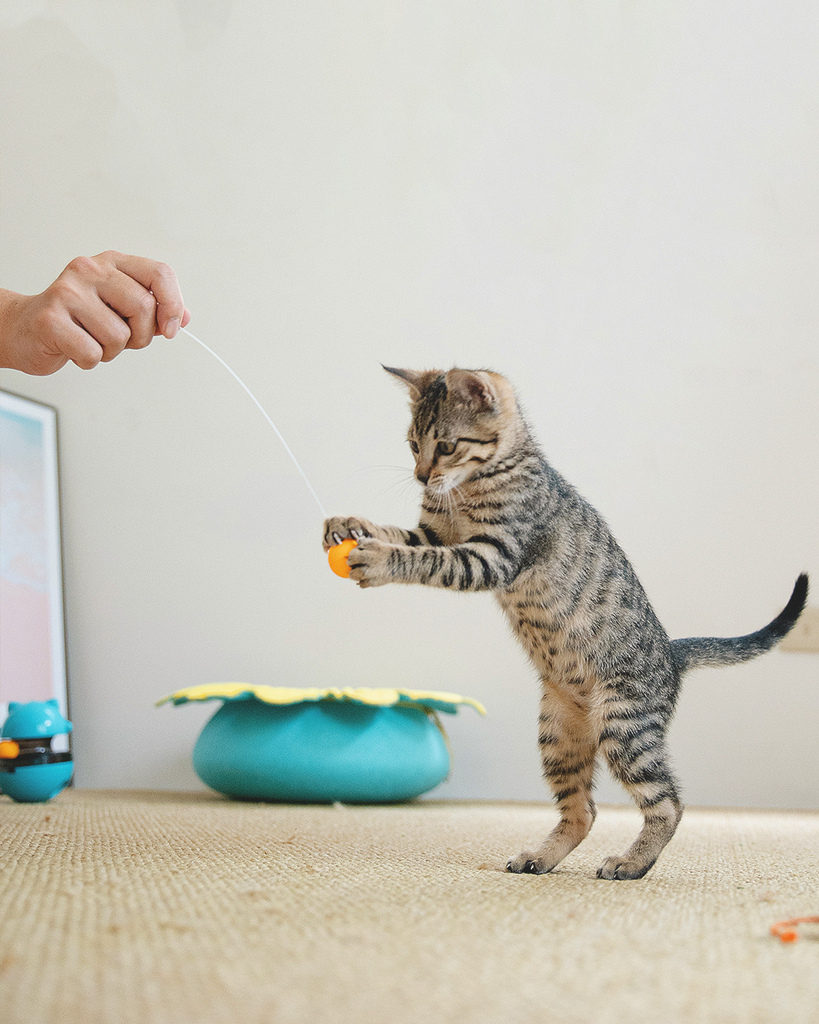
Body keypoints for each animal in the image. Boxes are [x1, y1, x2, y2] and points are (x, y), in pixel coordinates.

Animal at [322, 367, 808, 880]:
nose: (420, 476)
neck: (477, 480)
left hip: (625, 724)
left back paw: (632, 862)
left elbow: (424, 560)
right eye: (414, 445)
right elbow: (402, 535)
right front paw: (349, 523)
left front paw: (379, 558)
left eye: (447, 446)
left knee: (668, 802)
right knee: (583, 810)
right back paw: (541, 856)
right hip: (558, 734)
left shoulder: (491, 554)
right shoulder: (434, 531)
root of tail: (671, 653)